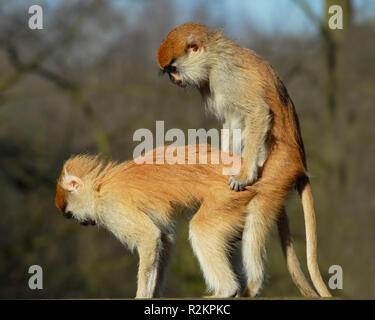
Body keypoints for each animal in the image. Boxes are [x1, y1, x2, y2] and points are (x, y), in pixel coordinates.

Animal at [56, 146, 320, 300]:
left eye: (69, 213)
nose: (83, 222)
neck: (99, 185)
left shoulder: (112, 207)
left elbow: (149, 237)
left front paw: (142, 295)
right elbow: (164, 239)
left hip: (228, 195)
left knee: (203, 230)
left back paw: (226, 290)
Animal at [157, 22, 334, 298]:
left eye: (173, 69)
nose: (175, 80)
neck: (212, 57)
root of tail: (301, 163)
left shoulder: (227, 79)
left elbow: (257, 111)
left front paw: (242, 175)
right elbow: (233, 122)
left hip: (279, 168)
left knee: (259, 210)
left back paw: (254, 283)